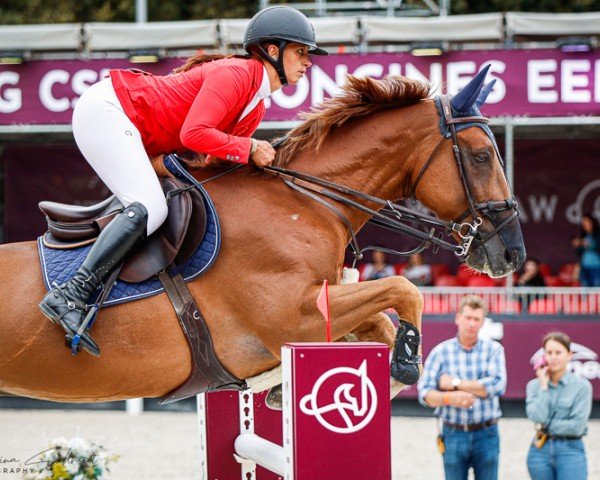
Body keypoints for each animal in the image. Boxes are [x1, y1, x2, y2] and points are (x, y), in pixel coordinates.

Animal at [0, 71, 524, 404]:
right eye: (482, 156)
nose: (511, 254)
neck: (305, 201)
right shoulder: (294, 315)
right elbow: (404, 289)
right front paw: (407, 363)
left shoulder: (321, 305)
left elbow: (380, 323)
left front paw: (286, 389)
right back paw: (66, 308)